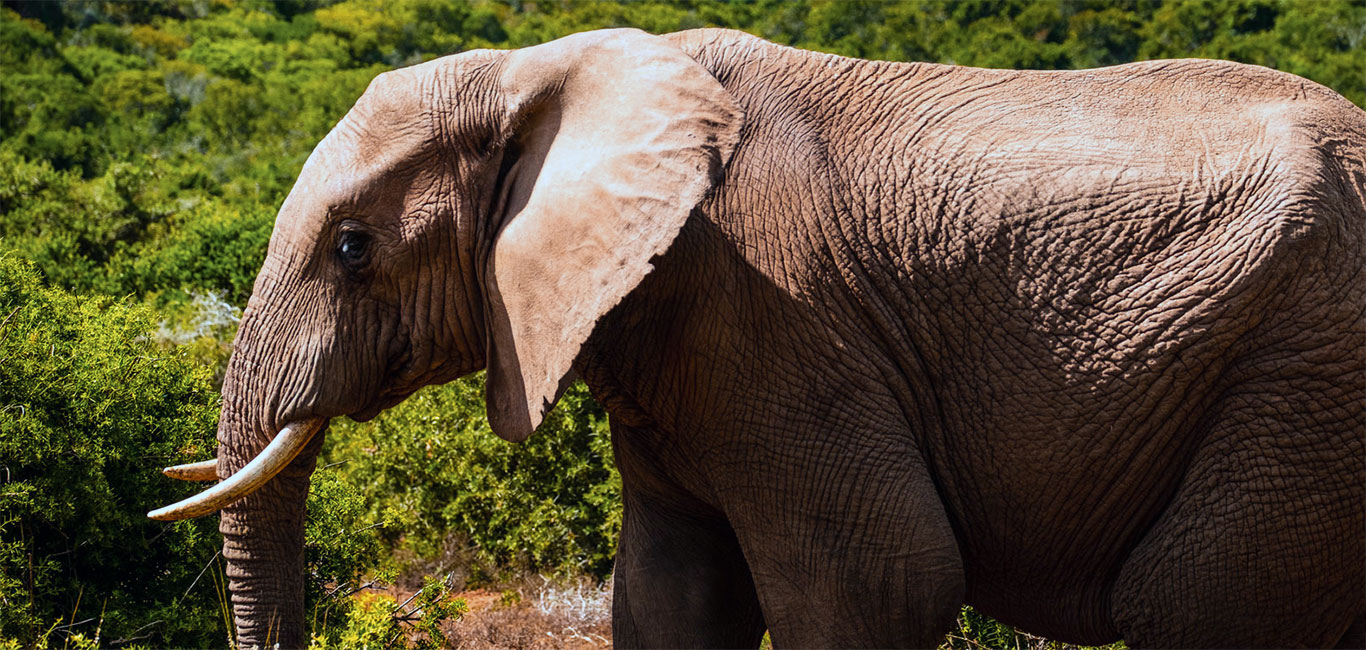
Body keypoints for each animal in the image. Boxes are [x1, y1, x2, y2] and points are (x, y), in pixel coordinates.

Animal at [149, 28, 1366, 649]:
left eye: (352, 247)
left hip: (1305, 375)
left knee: (1192, 604)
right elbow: (669, 595)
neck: (545, 71)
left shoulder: (779, 321)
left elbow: (879, 579)